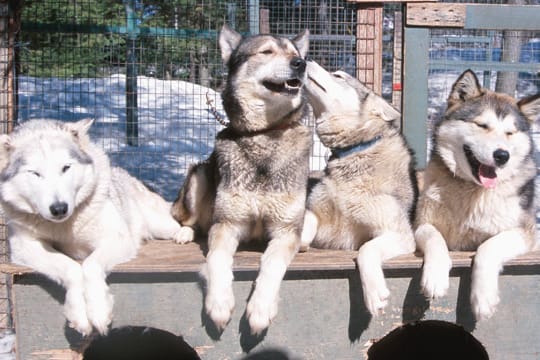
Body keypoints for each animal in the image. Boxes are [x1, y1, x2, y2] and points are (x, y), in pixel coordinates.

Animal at [0, 119, 188, 336]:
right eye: (35, 173)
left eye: (66, 168)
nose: (59, 208)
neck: (64, 227)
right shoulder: (25, 248)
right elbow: (71, 268)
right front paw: (79, 315)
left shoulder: (116, 237)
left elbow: (90, 265)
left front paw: (99, 311)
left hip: (159, 224)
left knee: (180, 225)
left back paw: (184, 235)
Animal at [171, 25, 310, 334]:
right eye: (266, 51)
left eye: (294, 53)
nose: (301, 64)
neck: (264, 134)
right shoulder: (226, 225)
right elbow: (217, 259)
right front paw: (219, 304)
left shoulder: (285, 231)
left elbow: (272, 265)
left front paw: (260, 308)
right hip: (199, 175)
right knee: (191, 221)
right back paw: (184, 233)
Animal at [300, 61, 418, 316]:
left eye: (338, 76)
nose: (303, 60)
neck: (355, 150)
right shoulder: (318, 216)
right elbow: (308, 222)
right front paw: (299, 241)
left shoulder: (400, 235)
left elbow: (366, 249)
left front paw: (373, 294)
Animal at [416, 70, 540, 320]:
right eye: (482, 125)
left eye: (510, 133)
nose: (502, 155)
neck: (473, 191)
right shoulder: (421, 223)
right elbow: (435, 236)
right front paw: (435, 278)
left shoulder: (527, 233)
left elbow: (489, 247)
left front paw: (483, 298)